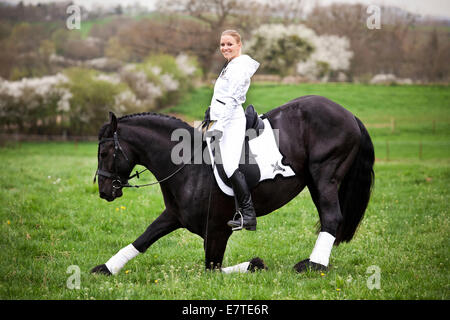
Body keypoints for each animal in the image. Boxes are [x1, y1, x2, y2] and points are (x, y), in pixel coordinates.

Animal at [90, 95, 372, 276]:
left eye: (104, 153)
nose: (104, 191)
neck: (188, 166)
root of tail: (348, 113)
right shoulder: (174, 216)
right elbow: (143, 239)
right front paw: (105, 269)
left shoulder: (217, 231)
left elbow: (212, 270)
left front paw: (254, 264)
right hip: (315, 181)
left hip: (325, 175)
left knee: (331, 217)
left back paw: (313, 266)